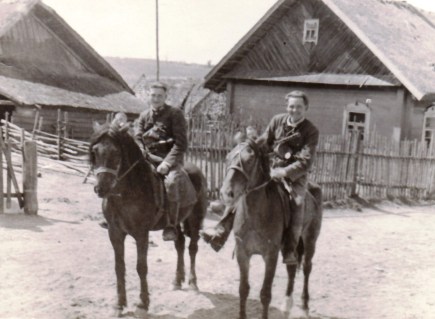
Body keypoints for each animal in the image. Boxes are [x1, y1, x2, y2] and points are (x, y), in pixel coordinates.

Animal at [89, 122, 209, 318]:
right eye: (95, 151)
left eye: (116, 153)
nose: (101, 188)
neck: (128, 191)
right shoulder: (115, 233)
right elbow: (119, 267)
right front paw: (119, 305)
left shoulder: (141, 234)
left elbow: (141, 267)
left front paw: (142, 305)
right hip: (176, 222)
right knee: (180, 244)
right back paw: (177, 281)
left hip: (195, 219)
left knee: (192, 248)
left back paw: (193, 283)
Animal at [221, 139, 324, 319]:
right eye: (227, 157)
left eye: (249, 160)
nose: (227, 192)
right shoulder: (242, 253)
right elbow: (243, 289)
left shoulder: (270, 255)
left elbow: (265, 294)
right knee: (292, 268)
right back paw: (287, 304)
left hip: (310, 240)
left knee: (306, 268)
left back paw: (304, 305)